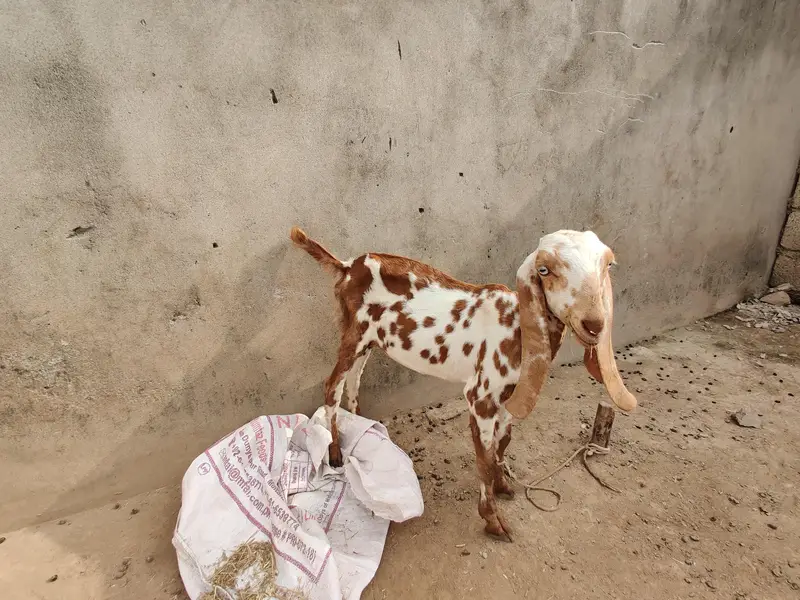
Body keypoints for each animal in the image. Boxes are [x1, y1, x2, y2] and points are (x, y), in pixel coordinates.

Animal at [290, 227, 636, 541]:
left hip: (370, 341)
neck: (516, 326)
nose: (593, 325)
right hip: (354, 333)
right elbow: (484, 460)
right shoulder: (480, 396)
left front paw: (503, 485)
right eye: (544, 270)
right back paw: (336, 453)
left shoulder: (507, 394)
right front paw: (493, 521)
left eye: (607, 265)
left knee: (354, 380)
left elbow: (503, 442)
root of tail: (348, 266)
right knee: (332, 386)